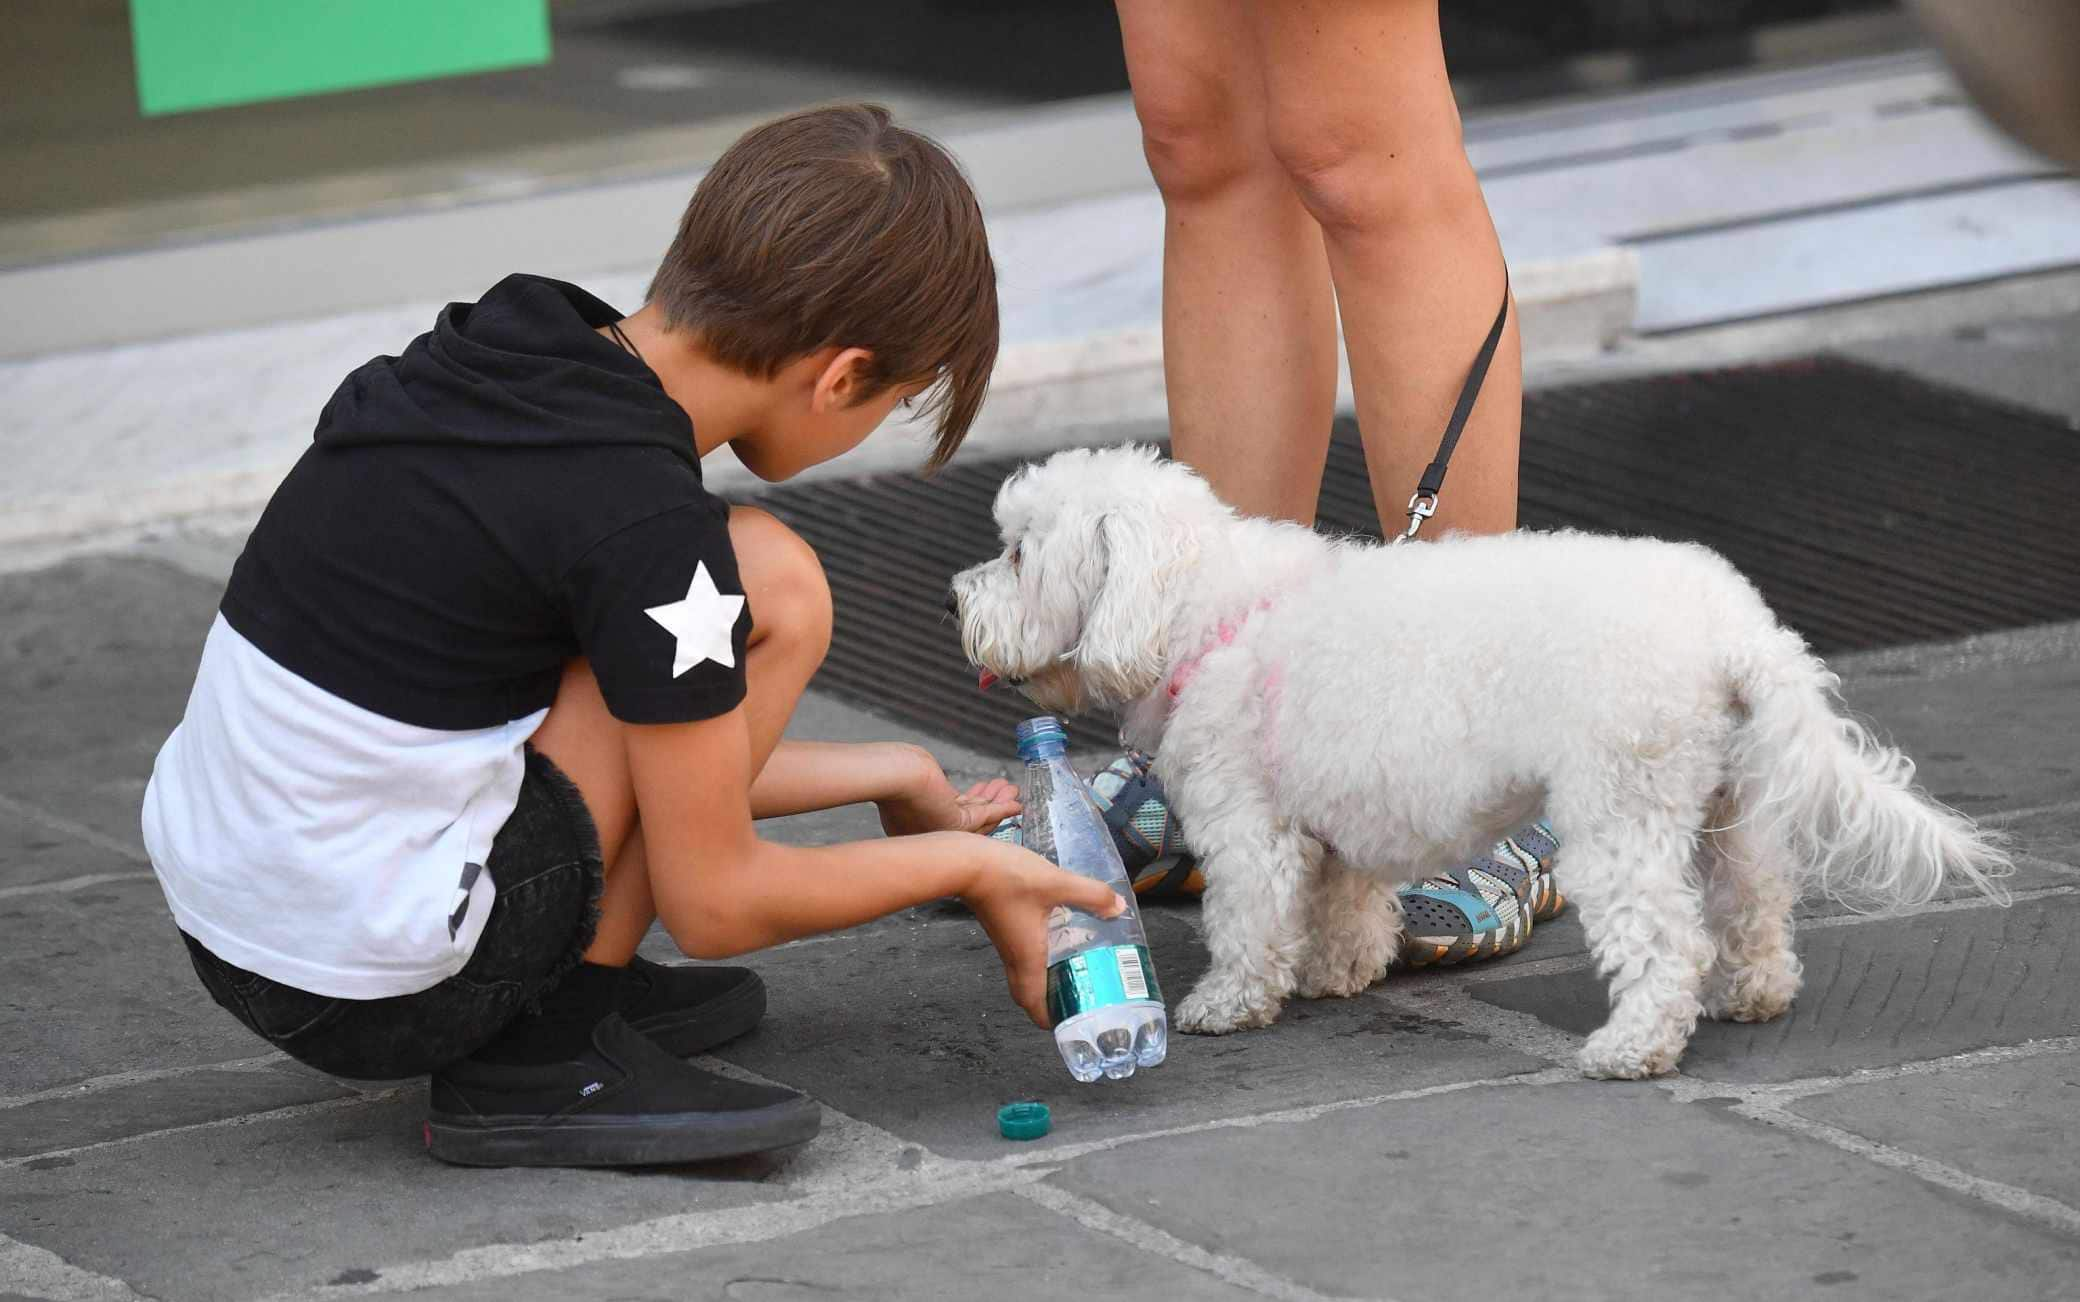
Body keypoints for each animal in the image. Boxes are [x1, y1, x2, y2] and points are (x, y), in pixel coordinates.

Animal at [952, 445, 2005, 1073]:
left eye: (1018, 555)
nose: (955, 598)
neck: (1201, 606)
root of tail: (1736, 632)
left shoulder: (1248, 823)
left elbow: (1250, 919)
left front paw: (1230, 1002)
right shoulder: (1336, 819)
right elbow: (1342, 902)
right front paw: (1340, 970)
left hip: (1620, 808)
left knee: (1667, 939)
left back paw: (1632, 1046)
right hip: (1727, 804)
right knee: (1752, 905)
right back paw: (1754, 995)